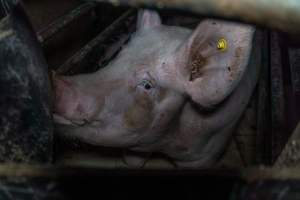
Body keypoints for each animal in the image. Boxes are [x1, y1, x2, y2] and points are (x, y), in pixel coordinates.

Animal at [53, 9, 260, 169]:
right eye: (118, 55)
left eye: (147, 85)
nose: (57, 82)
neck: (165, 145)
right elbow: (132, 162)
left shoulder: (207, 153)